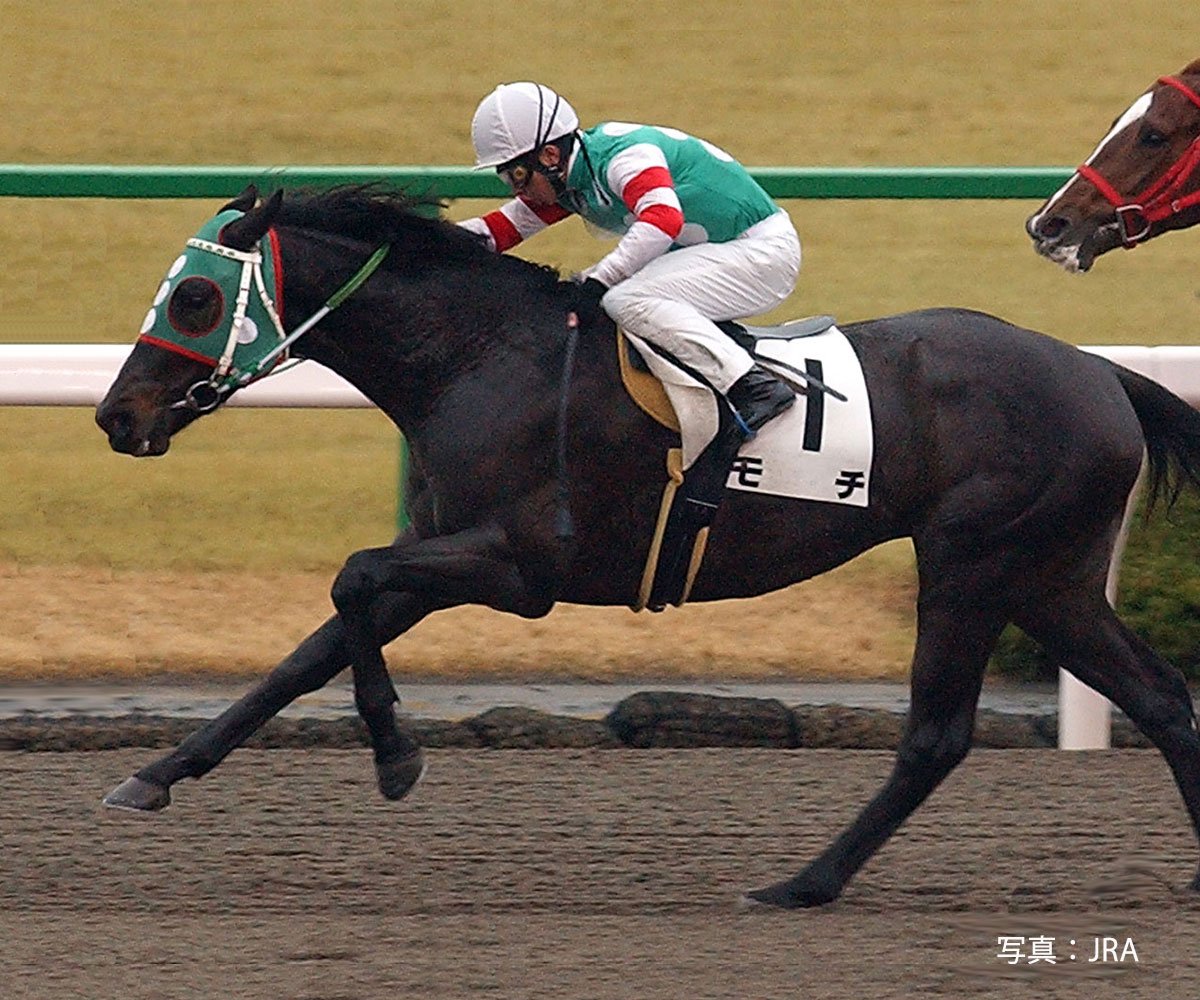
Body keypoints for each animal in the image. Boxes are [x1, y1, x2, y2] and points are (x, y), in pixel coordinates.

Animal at [96, 184, 1200, 902]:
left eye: (196, 297)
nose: (117, 415)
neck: (478, 357)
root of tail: (1102, 373)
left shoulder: (520, 564)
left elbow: (350, 579)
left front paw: (398, 755)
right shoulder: (443, 551)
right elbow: (306, 652)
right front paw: (155, 776)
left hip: (976, 564)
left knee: (937, 735)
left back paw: (801, 883)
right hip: (1050, 578)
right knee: (1160, 698)